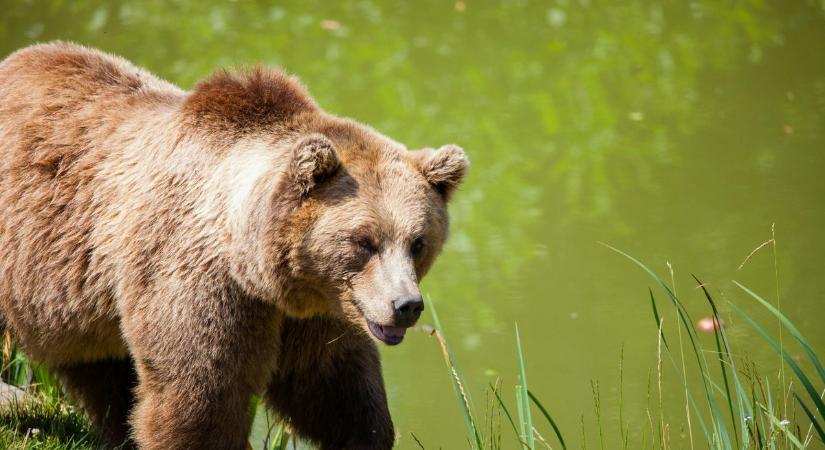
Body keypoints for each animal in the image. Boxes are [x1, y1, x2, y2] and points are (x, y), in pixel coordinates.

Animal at [0, 43, 466, 450]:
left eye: (417, 242)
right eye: (364, 241)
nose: (406, 305)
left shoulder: (318, 310)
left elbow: (334, 386)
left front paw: (364, 434)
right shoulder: (197, 280)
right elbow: (201, 392)